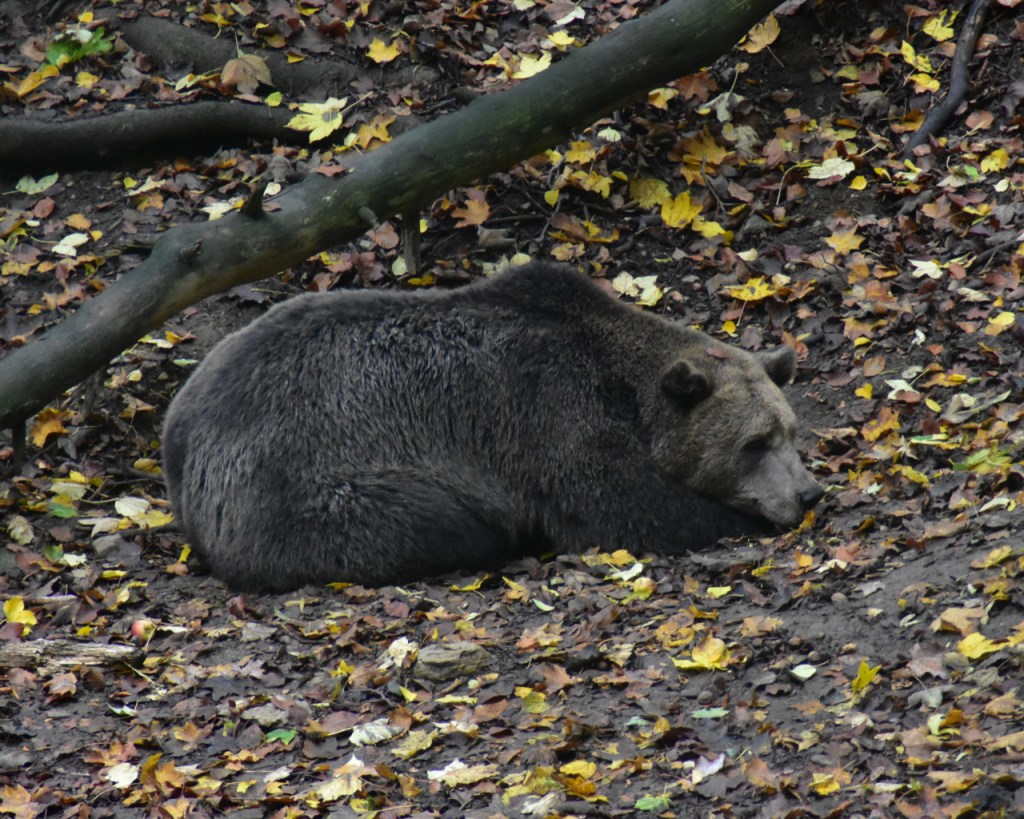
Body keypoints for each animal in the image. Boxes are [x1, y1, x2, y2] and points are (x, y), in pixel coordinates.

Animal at [162, 262, 823, 591]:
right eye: (754, 443)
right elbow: (623, 508)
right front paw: (734, 519)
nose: (807, 493)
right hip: (306, 485)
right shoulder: (548, 412)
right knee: (435, 520)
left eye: (791, 432)